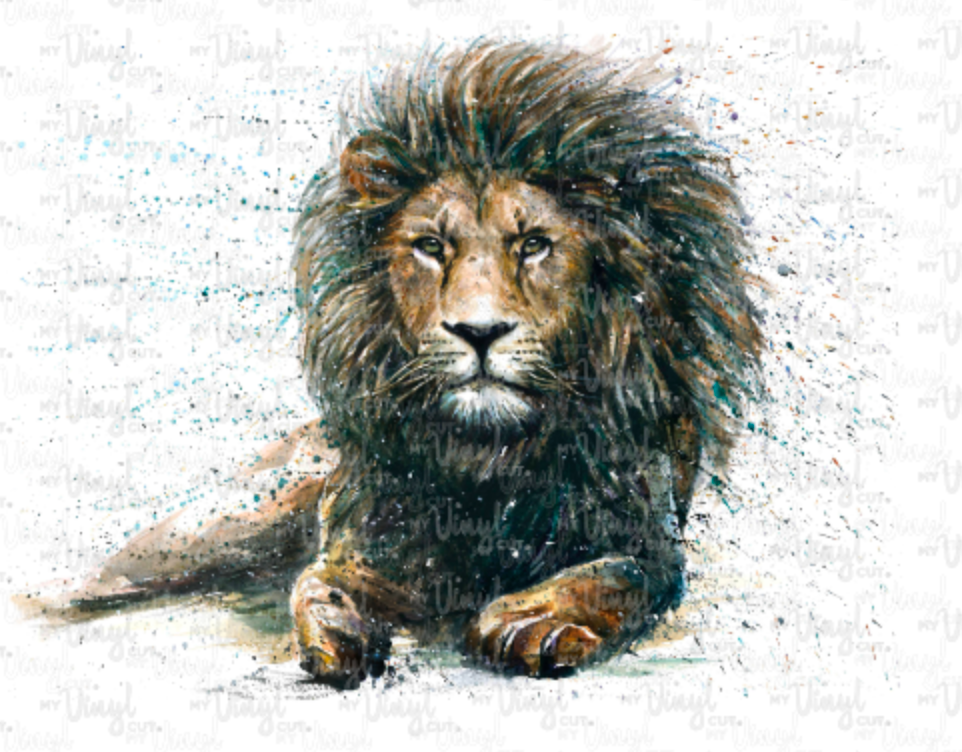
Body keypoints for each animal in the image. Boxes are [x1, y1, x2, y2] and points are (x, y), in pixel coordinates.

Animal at [64, 39, 763, 688]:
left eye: (535, 245)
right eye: (430, 246)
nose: (479, 331)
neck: (490, 455)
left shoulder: (647, 536)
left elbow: (613, 573)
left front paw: (529, 618)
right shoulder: (368, 534)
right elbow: (317, 581)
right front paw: (339, 633)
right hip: (215, 526)